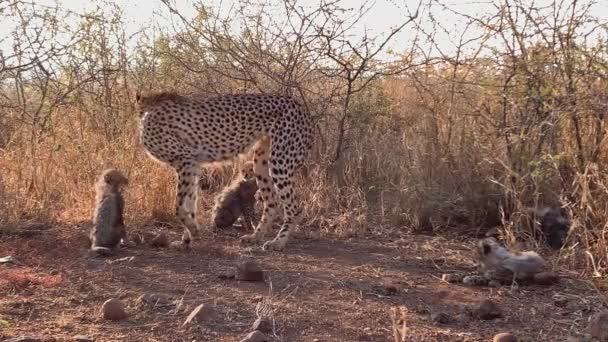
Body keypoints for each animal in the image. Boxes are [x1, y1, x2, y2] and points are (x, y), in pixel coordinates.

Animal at [135, 92, 312, 250]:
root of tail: (296, 102)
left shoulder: (186, 159)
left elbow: (178, 206)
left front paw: (192, 230)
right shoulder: (192, 165)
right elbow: (190, 203)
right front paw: (187, 240)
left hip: (279, 161)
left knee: (295, 208)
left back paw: (279, 242)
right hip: (261, 161)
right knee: (272, 202)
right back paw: (255, 236)